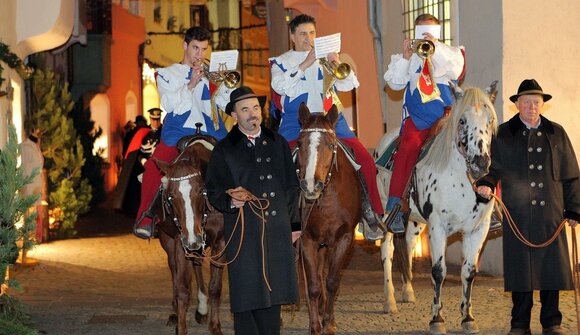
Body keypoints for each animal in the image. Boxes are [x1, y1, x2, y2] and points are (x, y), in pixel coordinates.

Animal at [153, 136, 225, 335]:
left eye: (200, 190)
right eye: (170, 196)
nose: (193, 239)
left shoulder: (220, 242)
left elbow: (215, 287)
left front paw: (215, 326)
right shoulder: (181, 241)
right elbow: (182, 289)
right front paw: (181, 326)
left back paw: (202, 308)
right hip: (170, 241)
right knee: (175, 270)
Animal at [296, 103, 360, 334]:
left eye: (331, 144)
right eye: (300, 143)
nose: (310, 185)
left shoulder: (344, 239)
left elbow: (332, 282)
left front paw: (329, 323)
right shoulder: (307, 239)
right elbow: (313, 285)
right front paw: (315, 325)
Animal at [376, 82, 498, 335]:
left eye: (490, 119)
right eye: (461, 120)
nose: (480, 163)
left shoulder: (477, 230)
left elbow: (469, 272)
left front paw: (468, 317)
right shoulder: (438, 228)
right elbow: (438, 271)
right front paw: (436, 319)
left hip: (414, 222)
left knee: (408, 247)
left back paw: (408, 292)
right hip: (385, 214)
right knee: (387, 252)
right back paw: (389, 301)